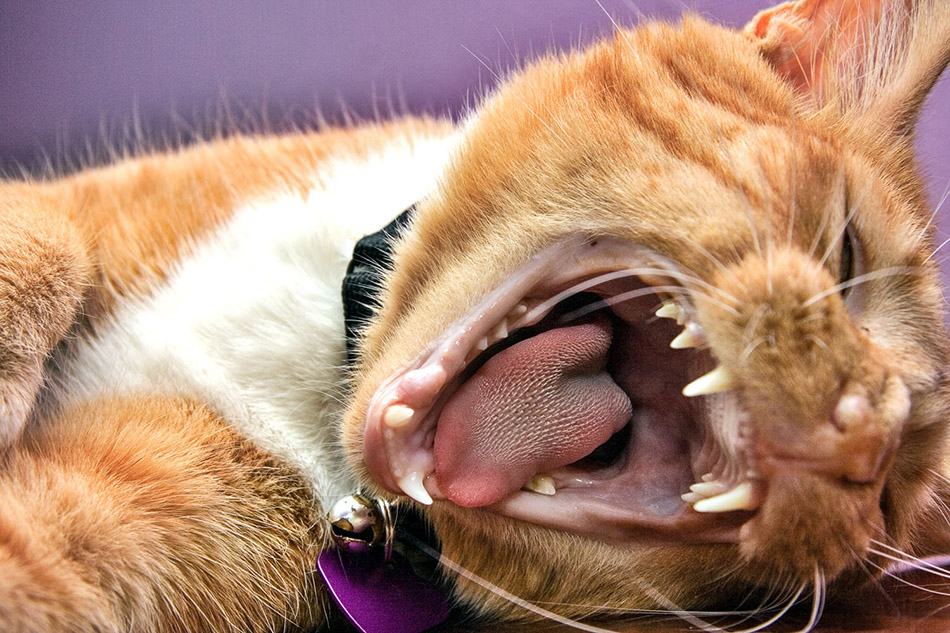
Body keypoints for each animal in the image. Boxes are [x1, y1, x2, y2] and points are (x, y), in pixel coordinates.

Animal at [1, 0, 949, 631]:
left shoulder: (136, 522)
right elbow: (47, 239)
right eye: (847, 254)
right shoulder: (86, 203)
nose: (864, 432)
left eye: (886, 500)